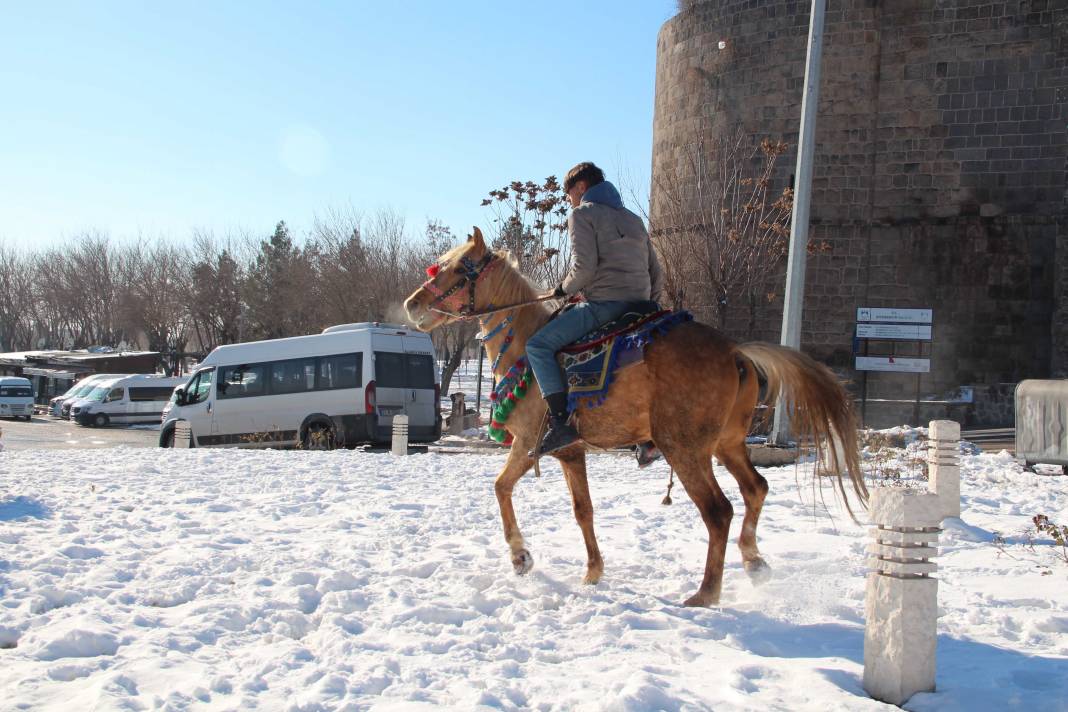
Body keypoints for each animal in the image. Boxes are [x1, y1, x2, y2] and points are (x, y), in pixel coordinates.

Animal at [401, 228, 867, 606]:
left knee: (718, 511)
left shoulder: (528, 443)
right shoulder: (570, 451)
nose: (412, 304)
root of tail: (735, 352)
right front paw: (592, 572)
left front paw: (521, 557)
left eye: (457, 268)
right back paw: (753, 561)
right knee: (756, 489)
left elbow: (500, 488)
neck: (526, 350)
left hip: (685, 448)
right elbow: (583, 509)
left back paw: (706, 593)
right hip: (728, 445)